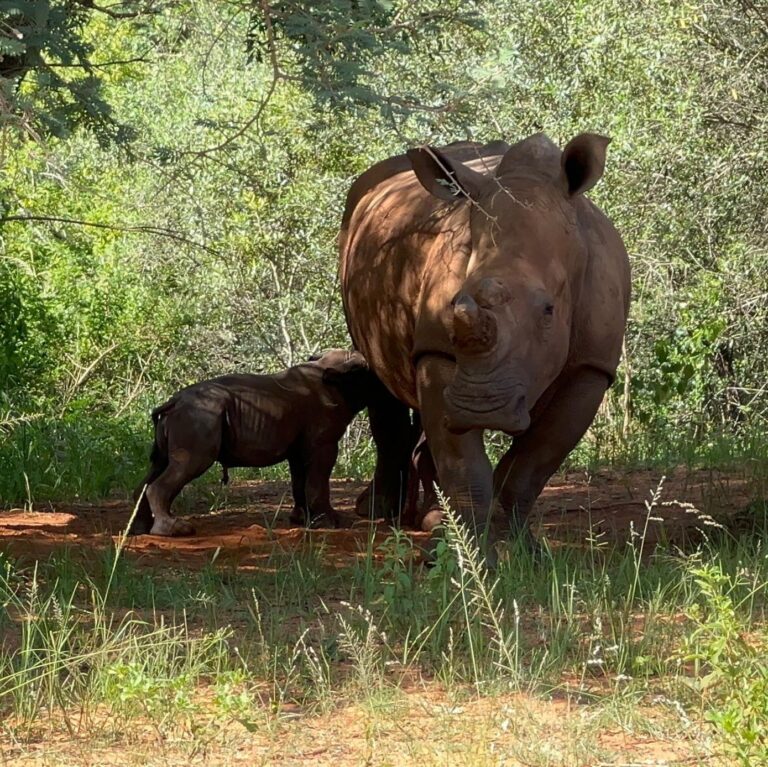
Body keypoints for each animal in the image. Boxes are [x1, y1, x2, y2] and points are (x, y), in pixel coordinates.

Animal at [130, 349, 377, 536]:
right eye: (367, 374)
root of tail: (173, 402)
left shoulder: (299, 448)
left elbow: (299, 480)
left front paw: (300, 519)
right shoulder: (322, 443)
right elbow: (318, 481)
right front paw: (331, 523)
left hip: (187, 418)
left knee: (159, 465)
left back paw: (139, 528)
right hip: (198, 417)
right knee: (188, 464)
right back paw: (175, 530)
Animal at [340, 132, 631, 563]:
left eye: (549, 311)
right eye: (455, 304)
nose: (480, 406)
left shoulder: (592, 366)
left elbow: (531, 463)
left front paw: (524, 551)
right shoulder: (438, 349)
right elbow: (464, 465)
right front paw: (465, 557)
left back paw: (428, 519)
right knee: (381, 375)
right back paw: (383, 513)